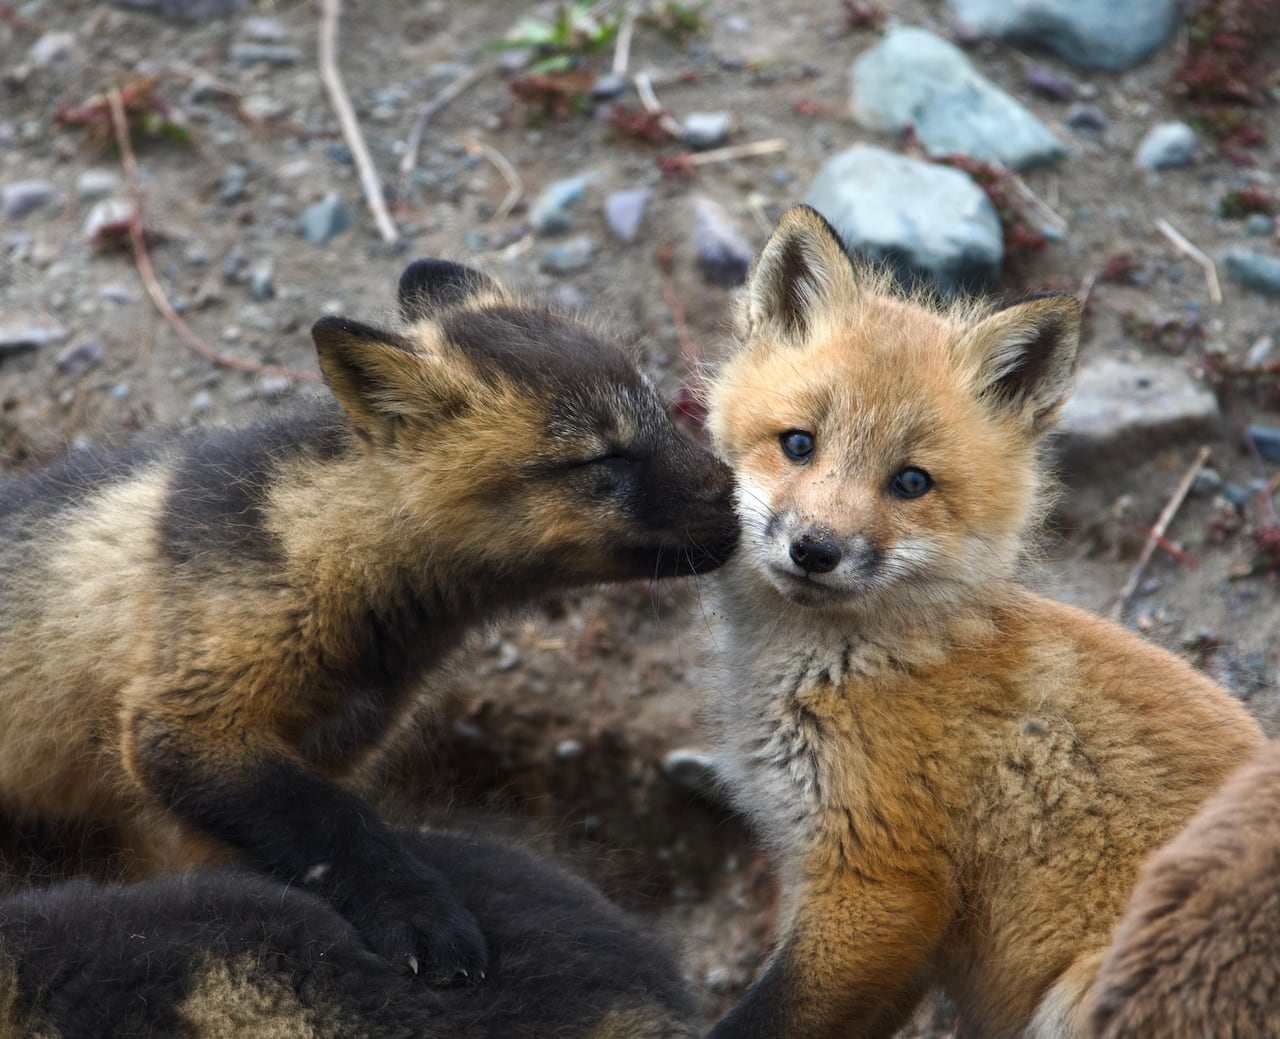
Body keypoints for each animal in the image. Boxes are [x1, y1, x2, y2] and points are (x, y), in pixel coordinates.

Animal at [0, 258, 737, 985]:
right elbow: (335, 827)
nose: (745, 504)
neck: (321, 553)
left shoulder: (315, 755)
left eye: (660, 411)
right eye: (602, 457)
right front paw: (417, 914)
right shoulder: (185, 730)